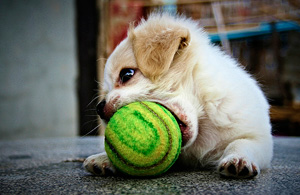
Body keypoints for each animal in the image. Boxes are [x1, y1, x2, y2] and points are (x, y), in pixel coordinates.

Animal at [83, 12, 274, 178]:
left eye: (126, 74)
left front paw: (238, 159)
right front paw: (104, 157)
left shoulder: (259, 138)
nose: (99, 108)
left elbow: (240, 143)